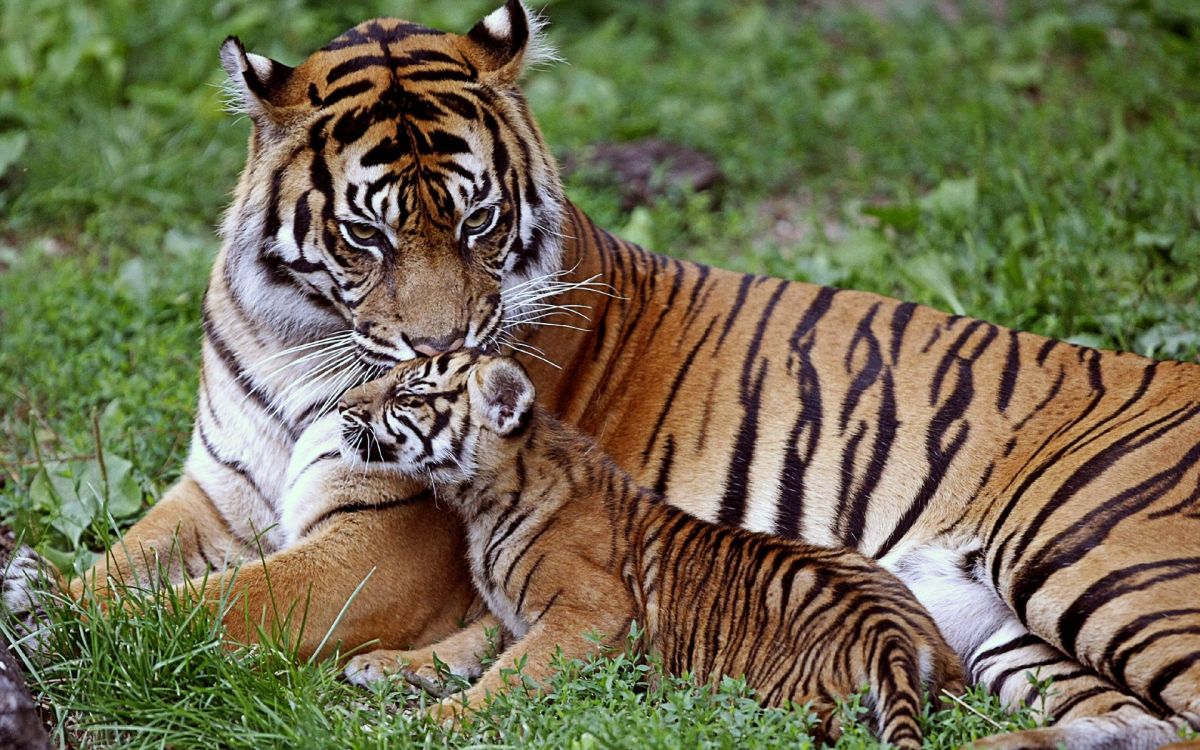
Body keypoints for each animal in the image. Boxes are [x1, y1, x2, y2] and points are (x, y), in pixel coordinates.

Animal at [23, 2, 1195, 744]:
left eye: (477, 221)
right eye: (368, 235)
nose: (443, 350)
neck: (296, 339)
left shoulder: (385, 542)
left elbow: (209, 606)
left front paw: (50, 625)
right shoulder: (219, 488)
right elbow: (125, 566)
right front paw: (43, 588)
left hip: (1100, 562)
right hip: (1014, 637)